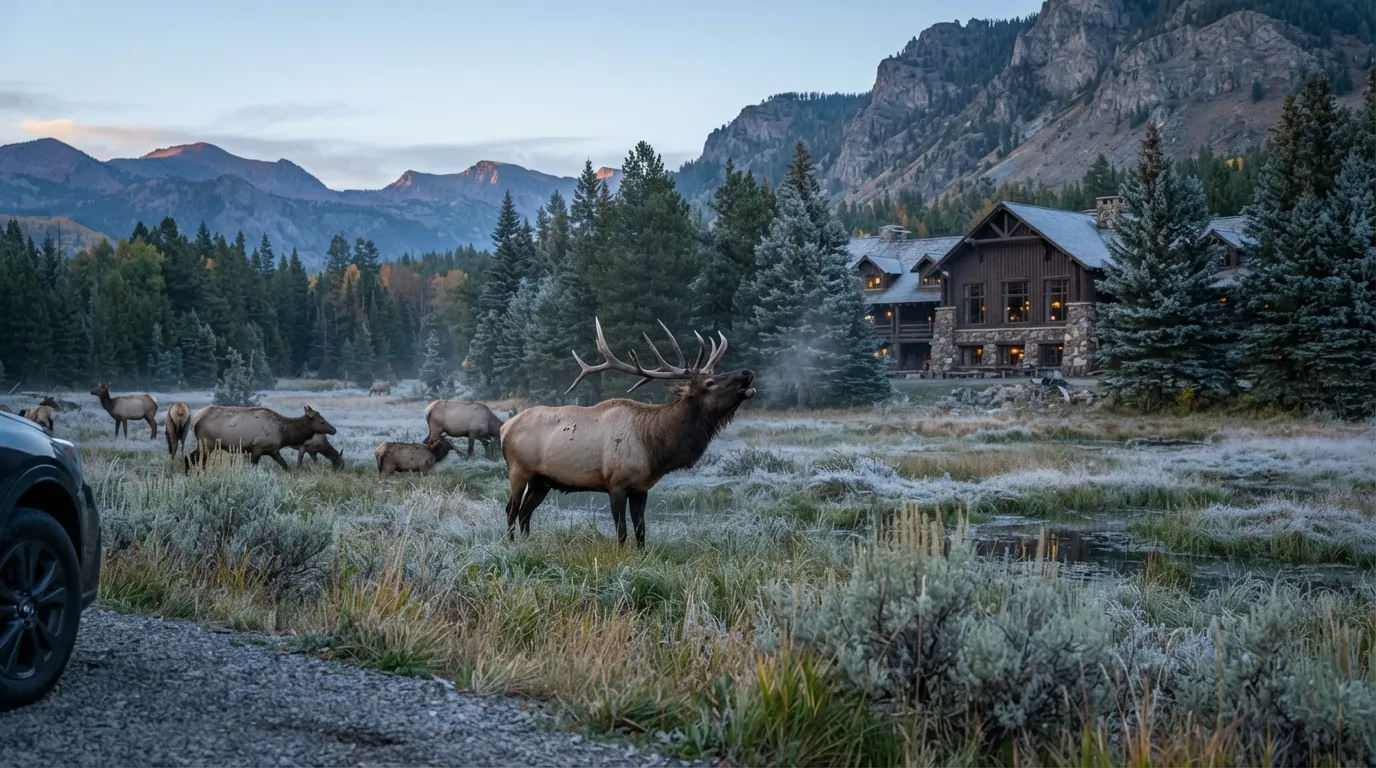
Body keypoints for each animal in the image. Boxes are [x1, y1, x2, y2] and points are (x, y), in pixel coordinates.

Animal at [500, 318, 755, 548]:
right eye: (709, 383)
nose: (747, 372)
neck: (654, 449)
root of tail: (504, 427)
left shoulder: (641, 488)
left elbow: (641, 532)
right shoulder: (616, 484)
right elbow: (622, 533)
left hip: (542, 481)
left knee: (525, 512)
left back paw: (529, 543)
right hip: (518, 470)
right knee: (512, 509)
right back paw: (511, 545)